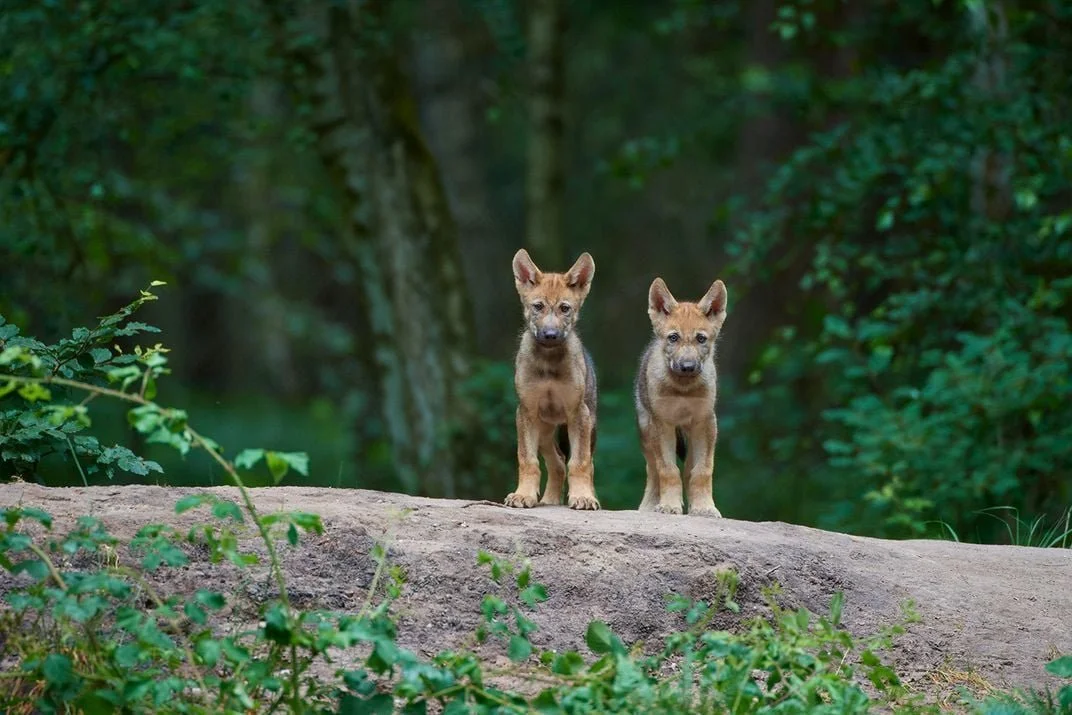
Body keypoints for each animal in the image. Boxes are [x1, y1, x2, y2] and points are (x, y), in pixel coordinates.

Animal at [504, 248, 600, 510]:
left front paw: (583, 497)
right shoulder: (526, 412)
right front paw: (523, 495)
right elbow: (527, 461)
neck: (548, 365)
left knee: (587, 464)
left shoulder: (578, 413)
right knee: (556, 462)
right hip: (544, 429)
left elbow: (579, 463)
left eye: (565, 308)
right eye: (538, 306)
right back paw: (550, 500)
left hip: (588, 424)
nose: (550, 335)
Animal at [634, 276, 729, 516]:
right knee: (653, 471)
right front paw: (668, 506)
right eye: (674, 338)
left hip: (692, 437)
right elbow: (668, 471)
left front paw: (705, 507)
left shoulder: (705, 423)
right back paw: (649, 507)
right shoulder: (662, 424)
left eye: (701, 339)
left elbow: (702, 472)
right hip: (646, 432)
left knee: (688, 471)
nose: (687, 366)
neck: (683, 390)